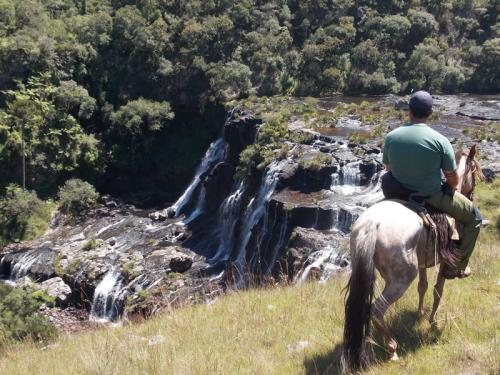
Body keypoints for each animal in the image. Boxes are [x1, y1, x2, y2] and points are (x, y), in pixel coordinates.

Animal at [340, 145, 484, 374]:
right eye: (475, 174)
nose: (471, 195)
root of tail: (372, 224)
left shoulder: (424, 261)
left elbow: (423, 286)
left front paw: (419, 314)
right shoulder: (446, 262)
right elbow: (437, 290)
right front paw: (433, 320)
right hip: (401, 278)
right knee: (376, 309)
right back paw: (392, 348)